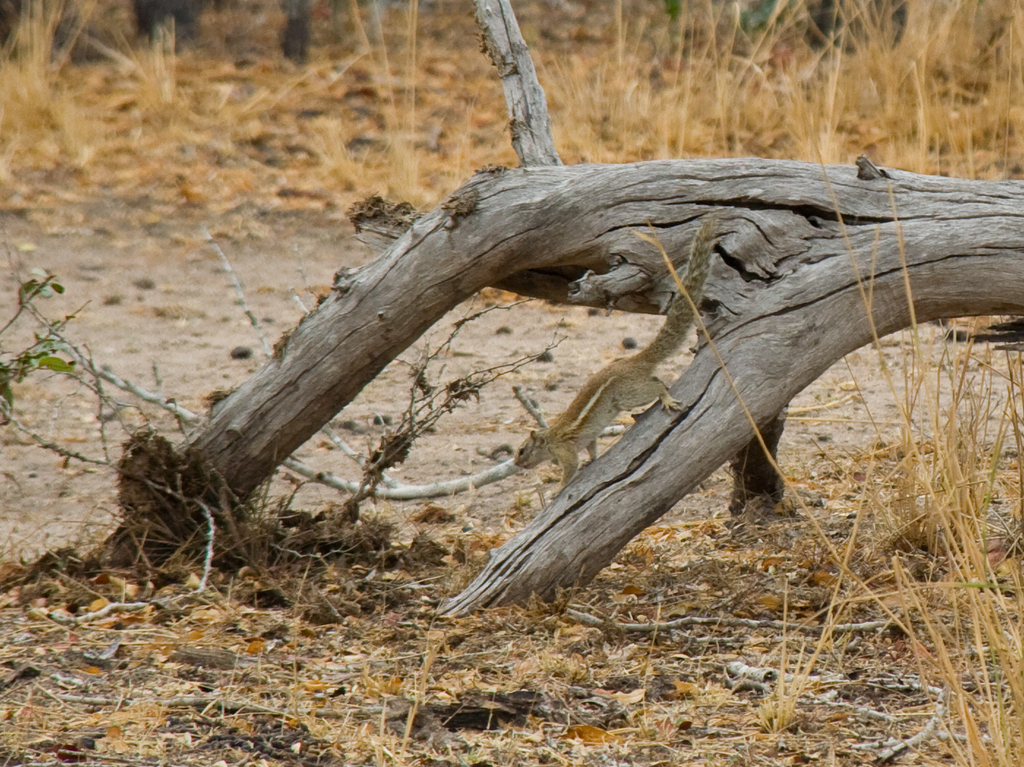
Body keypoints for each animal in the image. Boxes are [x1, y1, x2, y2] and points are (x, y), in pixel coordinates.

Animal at [515, 217, 718, 486]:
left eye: (522, 450)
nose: (516, 464)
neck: (551, 437)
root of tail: (634, 361)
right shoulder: (587, 440)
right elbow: (591, 448)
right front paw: (591, 461)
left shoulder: (564, 451)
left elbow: (570, 469)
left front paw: (558, 488)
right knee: (657, 379)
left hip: (627, 395)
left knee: (658, 386)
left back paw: (666, 398)